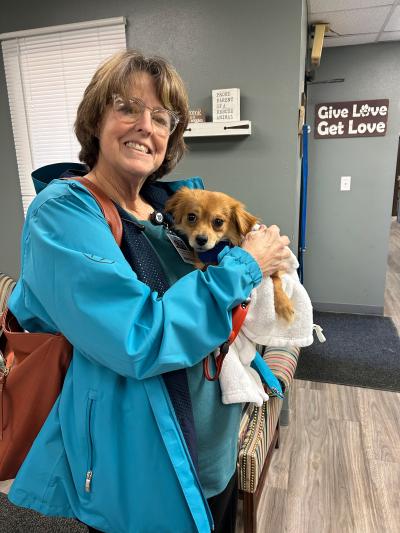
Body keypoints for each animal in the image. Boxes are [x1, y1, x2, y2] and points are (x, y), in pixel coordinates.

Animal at [165, 186, 294, 320]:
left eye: (218, 221)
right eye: (191, 217)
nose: (201, 239)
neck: (215, 251)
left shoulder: (277, 267)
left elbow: (276, 280)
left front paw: (284, 304)